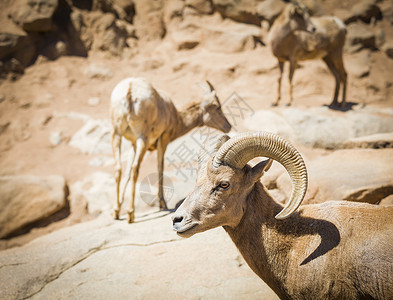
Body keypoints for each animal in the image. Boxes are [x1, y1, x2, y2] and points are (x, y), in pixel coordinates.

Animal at [108, 77, 231, 223]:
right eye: (217, 106)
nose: (228, 126)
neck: (175, 116)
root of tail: (130, 90)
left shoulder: (133, 143)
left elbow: (126, 173)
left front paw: (118, 206)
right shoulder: (163, 139)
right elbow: (160, 168)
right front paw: (163, 204)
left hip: (117, 134)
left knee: (118, 169)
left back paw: (116, 212)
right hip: (142, 138)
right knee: (135, 169)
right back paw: (130, 214)